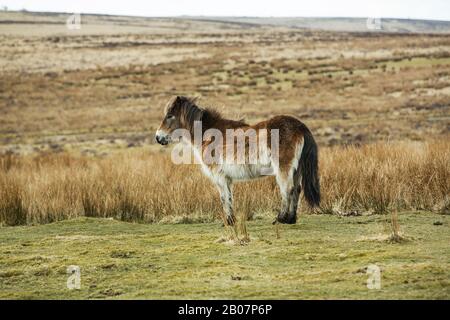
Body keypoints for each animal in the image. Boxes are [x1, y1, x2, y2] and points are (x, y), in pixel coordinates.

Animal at [156, 97, 322, 225]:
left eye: (170, 115)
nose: (158, 137)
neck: (209, 134)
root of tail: (301, 127)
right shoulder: (227, 178)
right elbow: (229, 197)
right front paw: (232, 220)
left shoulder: (220, 177)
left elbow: (224, 198)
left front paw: (229, 222)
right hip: (296, 169)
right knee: (297, 189)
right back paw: (291, 220)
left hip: (283, 168)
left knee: (287, 189)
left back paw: (281, 219)